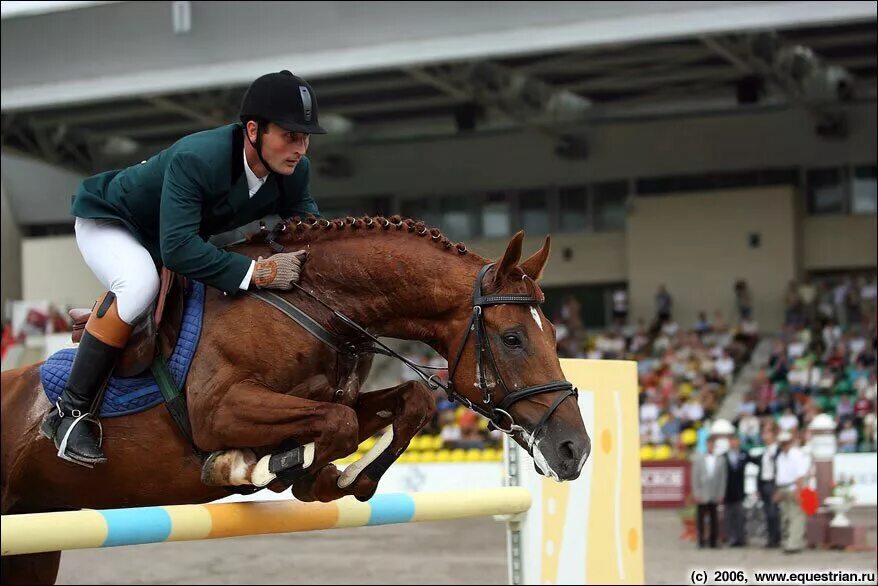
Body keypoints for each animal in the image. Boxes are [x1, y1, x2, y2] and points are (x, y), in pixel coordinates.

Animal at [1, 217, 592, 580]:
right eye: (513, 339)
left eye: (554, 335)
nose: (574, 450)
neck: (321, 307)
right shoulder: (218, 410)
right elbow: (337, 424)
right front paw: (262, 466)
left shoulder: (340, 395)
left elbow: (407, 404)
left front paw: (338, 479)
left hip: (37, 539)